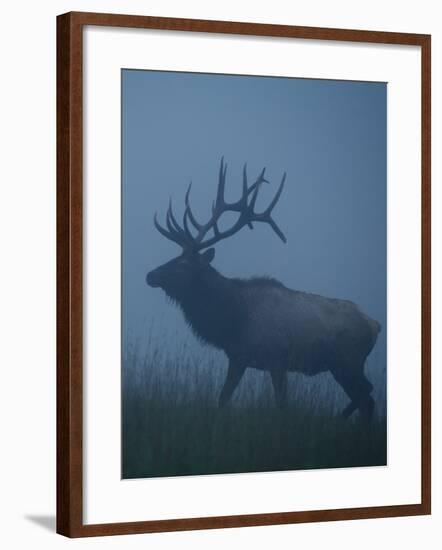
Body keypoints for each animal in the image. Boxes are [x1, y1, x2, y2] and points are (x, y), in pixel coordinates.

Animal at [146, 158, 380, 418]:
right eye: (175, 257)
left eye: (184, 264)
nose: (150, 275)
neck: (232, 319)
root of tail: (375, 326)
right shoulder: (238, 357)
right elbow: (222, 399)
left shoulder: (277, 359)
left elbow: (281, 404)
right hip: (343, 365)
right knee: (366, 395)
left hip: (348, 361)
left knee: (366, 398)